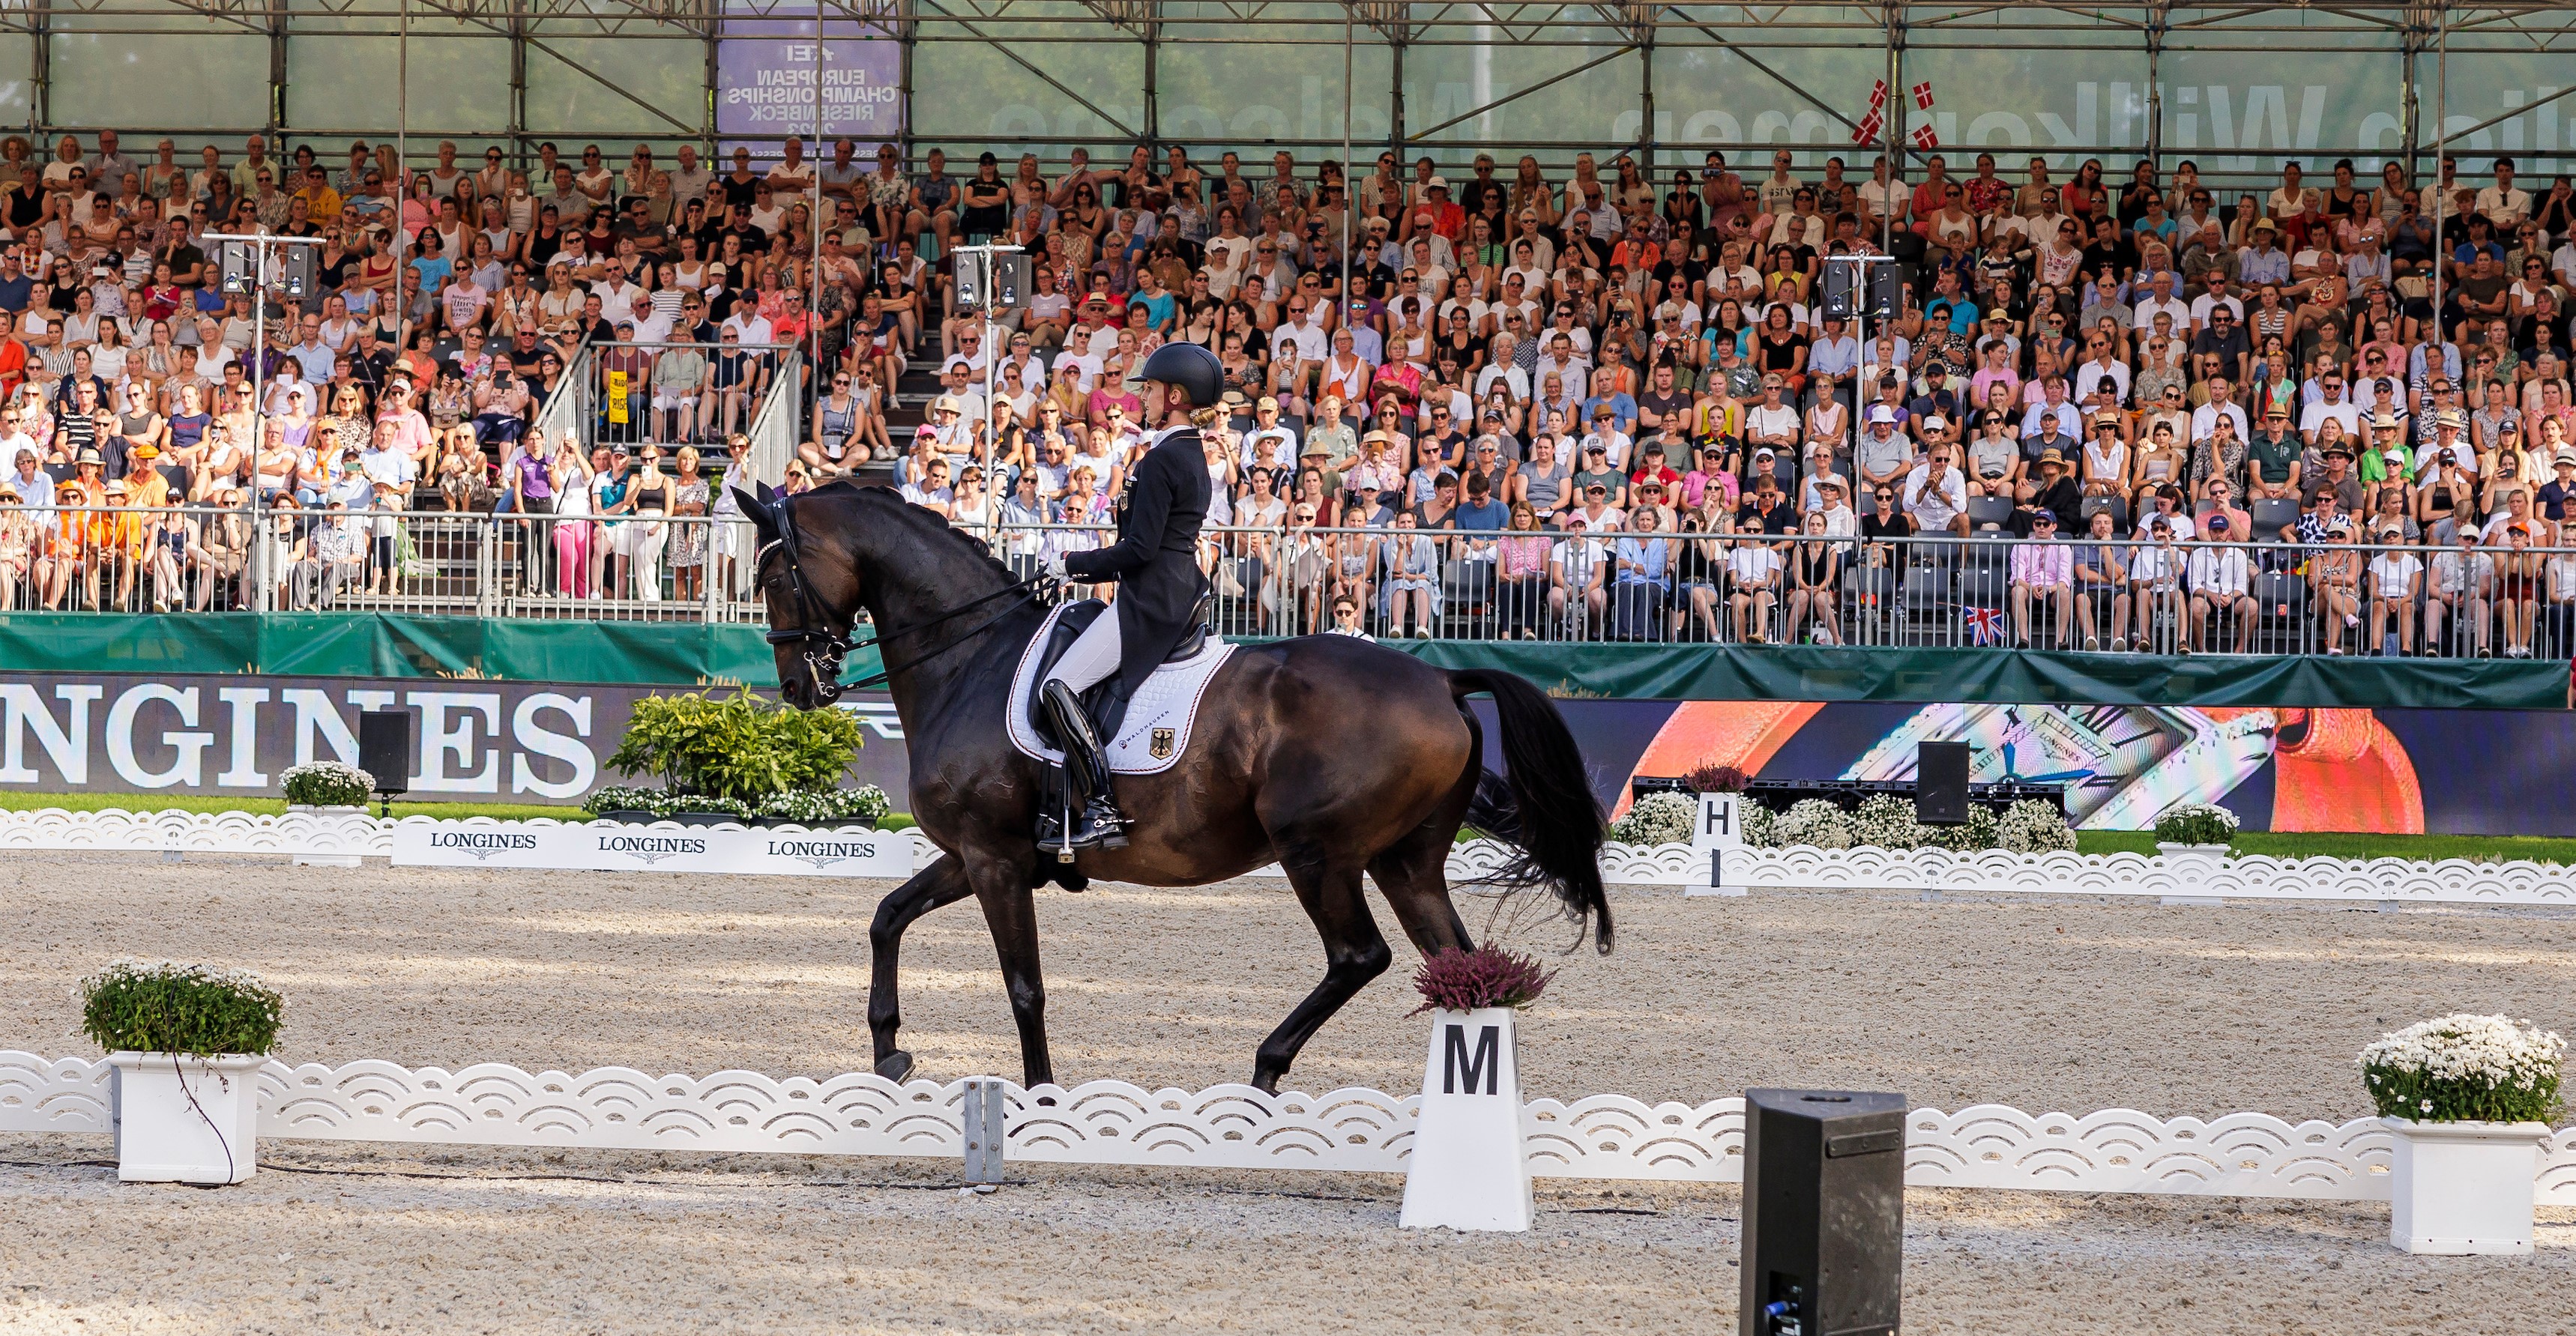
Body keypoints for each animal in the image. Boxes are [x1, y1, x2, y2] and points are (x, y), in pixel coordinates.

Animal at [732, 486, 1607, 1091]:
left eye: (774, 572)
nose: (798, 685)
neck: (968, 657)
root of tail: (1442, 679)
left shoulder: (993, 859)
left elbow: (1024, 987)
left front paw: (1041, 1097)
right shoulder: (978, 853)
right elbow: (886, 916)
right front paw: (890, 1052)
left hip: (1316, 853)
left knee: (1360, 955)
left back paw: (1266, 1068)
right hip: (1406, 862)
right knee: (1460, 966)